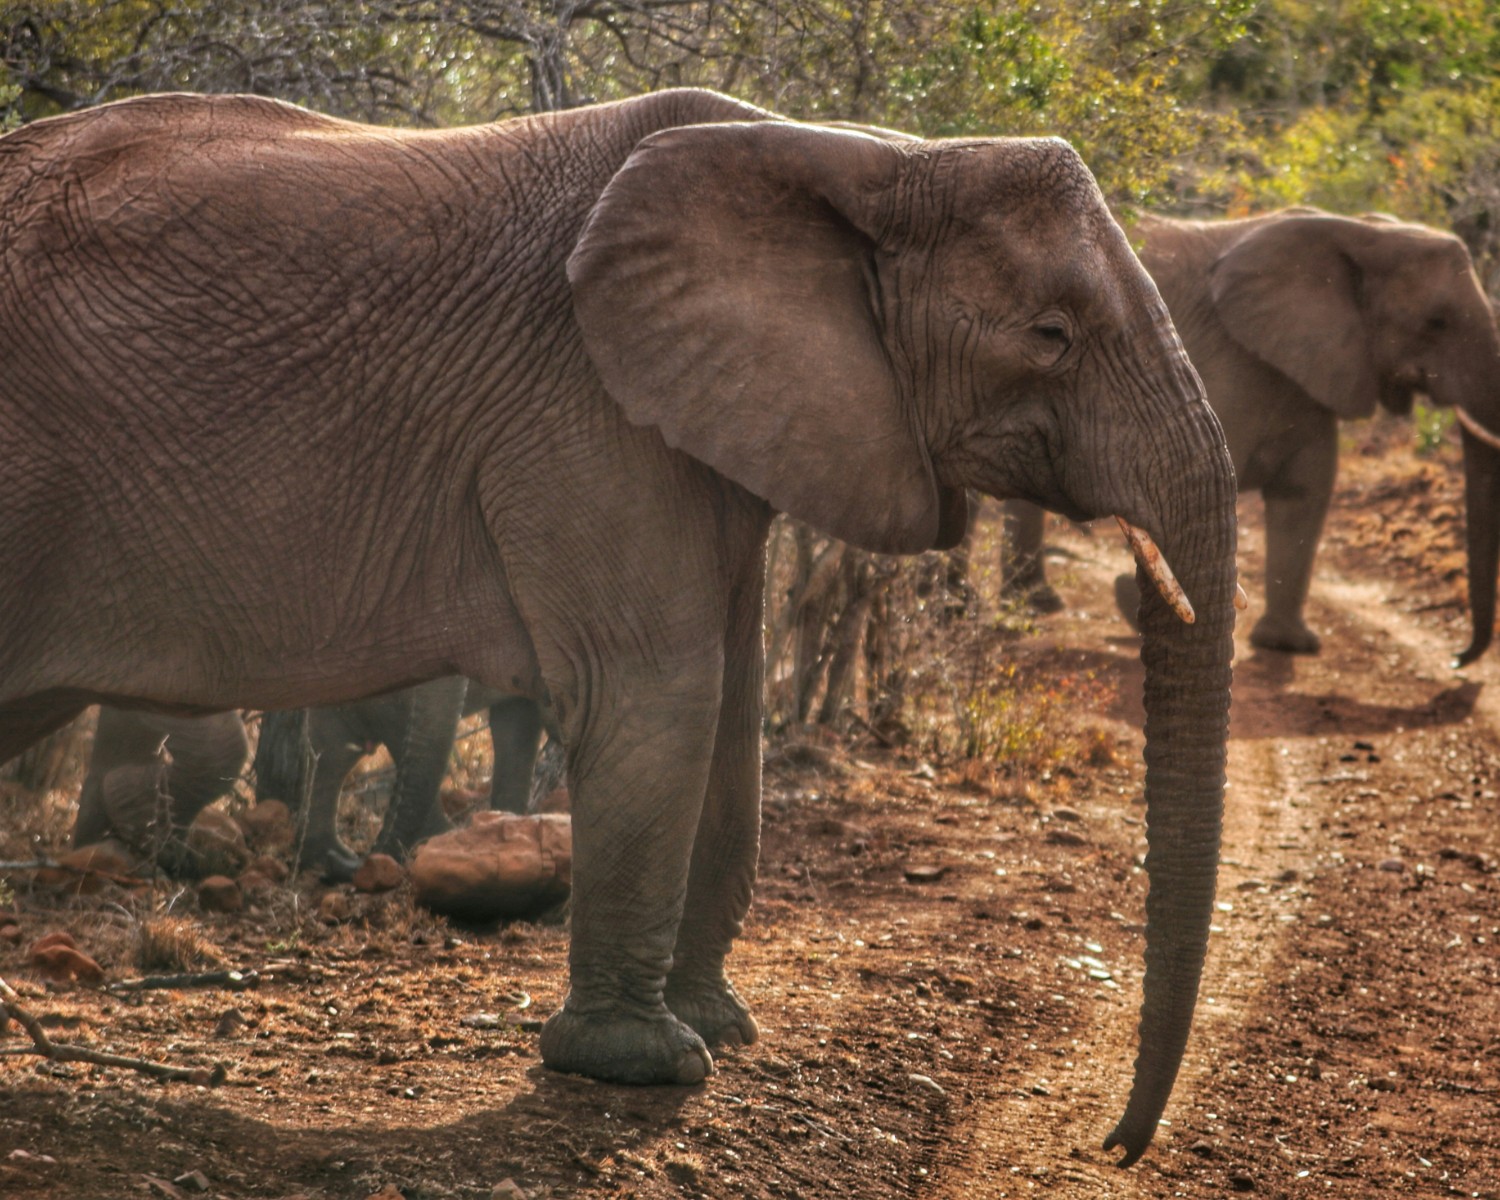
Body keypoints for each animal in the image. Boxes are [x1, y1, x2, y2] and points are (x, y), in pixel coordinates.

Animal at [1001, 207, 1500, 658]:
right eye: (1437, 322)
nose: (1457, 658)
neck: (1361, 230)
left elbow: (1304, 495)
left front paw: (1287, 645)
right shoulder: (1224, 363)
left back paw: (1034, 601)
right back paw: (1034, 605)